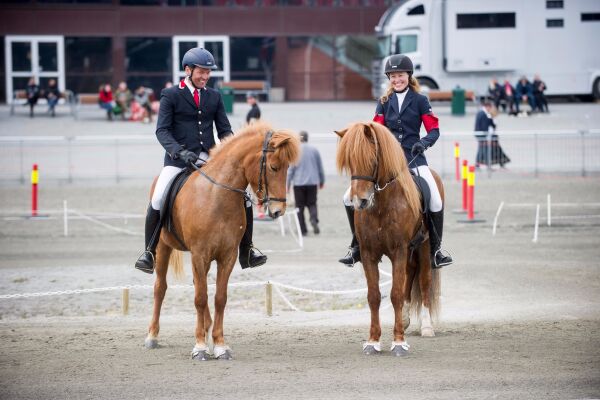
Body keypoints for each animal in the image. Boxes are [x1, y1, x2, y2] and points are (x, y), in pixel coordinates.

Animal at [145, 122, 300, 360]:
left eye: (287, 169)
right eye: (274, 168)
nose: (277, 211)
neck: (216, 195)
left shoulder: (227, 255)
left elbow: (219, 297)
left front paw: (219, 345)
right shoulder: (199, 254)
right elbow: (200, 298)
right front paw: (200, 347)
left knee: (199, 286)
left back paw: (207, 327)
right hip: (163, 247)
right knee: (160, 288)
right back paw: (153, 336)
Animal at [336, 121, 442, 356]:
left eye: (372, 160)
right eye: (350, 162)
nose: (359, 201)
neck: (381, 204)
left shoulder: (399, 251)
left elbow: (395, 294)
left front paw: (399, 342)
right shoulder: (368, 254)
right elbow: (374, 296)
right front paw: (373, 341)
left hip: (424, 246)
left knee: (424, 280)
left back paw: (427, 327)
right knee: (409, 277)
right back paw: (405, 318)